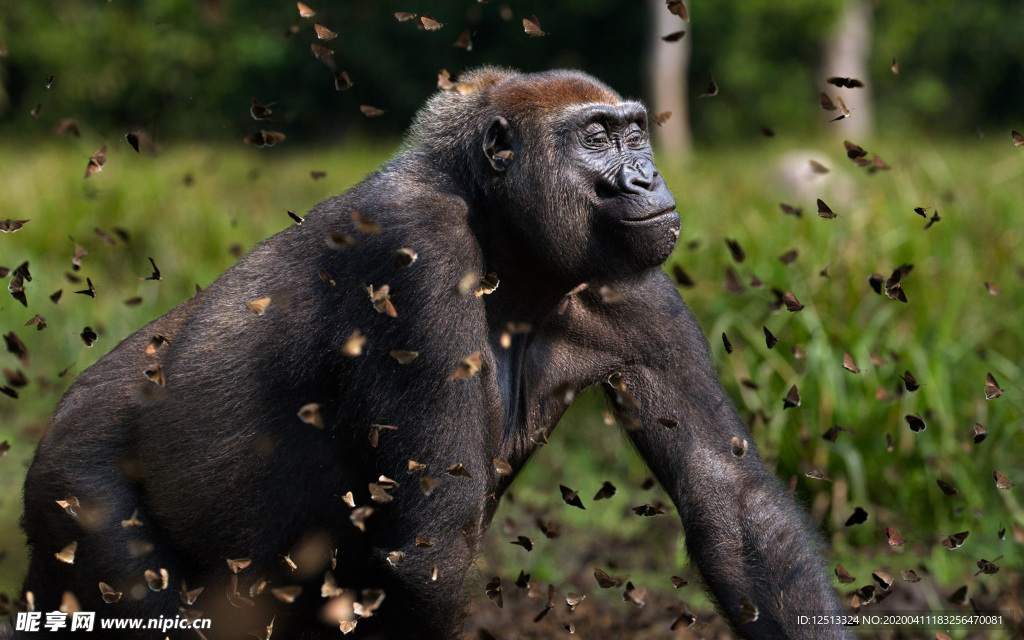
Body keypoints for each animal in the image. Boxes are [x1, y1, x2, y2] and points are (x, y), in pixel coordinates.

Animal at [19, 67, 847, 634]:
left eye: (636, 131)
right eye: (596, 137)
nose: (647, 177)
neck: (498, 227)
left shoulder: (636, 285)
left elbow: (732, 500)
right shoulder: (415, 253)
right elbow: (429, 548)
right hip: (75, 488)